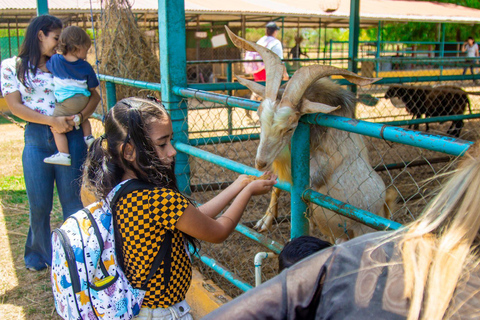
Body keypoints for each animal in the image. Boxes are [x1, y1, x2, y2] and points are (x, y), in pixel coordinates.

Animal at [227, 27, 396, 241]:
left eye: (291, 127)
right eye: (259, 116)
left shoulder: (320, 167)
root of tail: (385, 212)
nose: (260, 162)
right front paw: (265, 221)